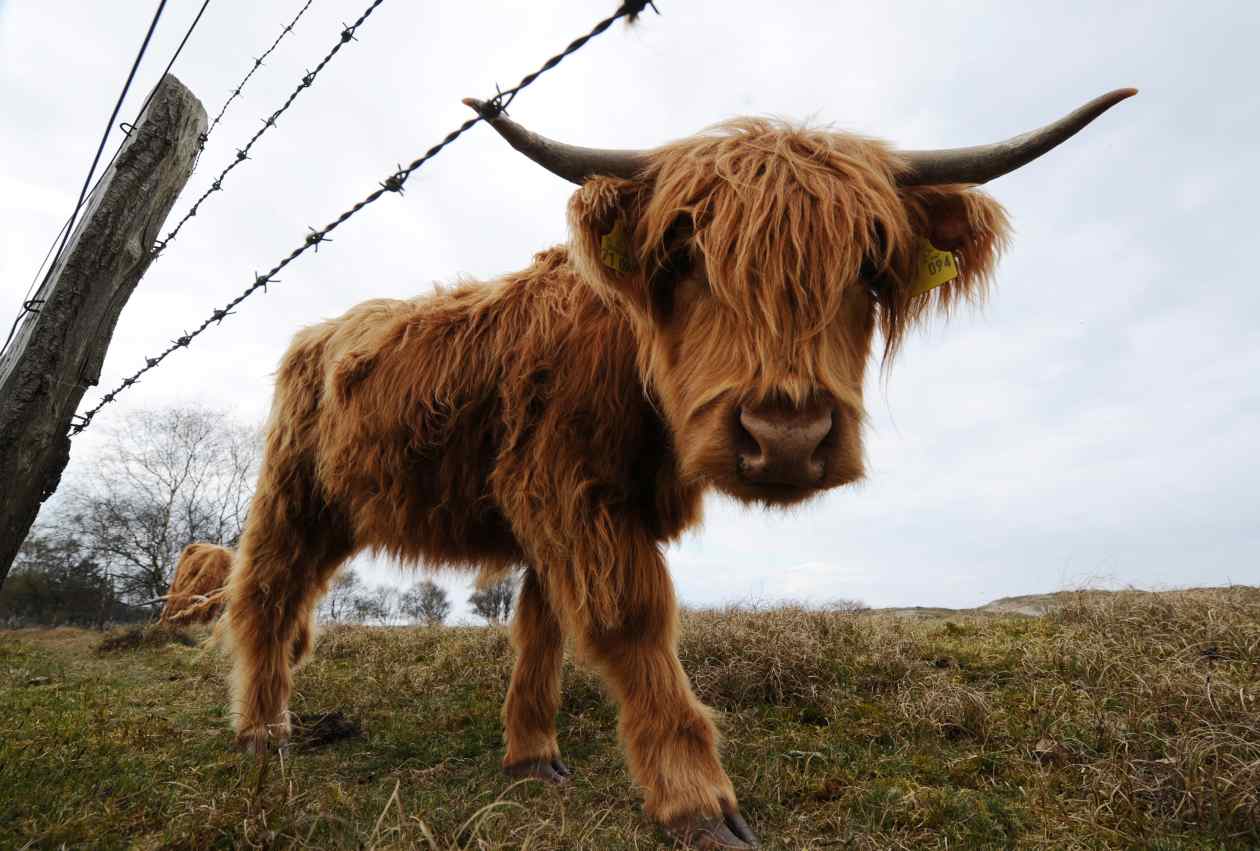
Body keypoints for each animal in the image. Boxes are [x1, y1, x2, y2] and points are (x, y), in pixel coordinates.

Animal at [217, 89, 1134, 848]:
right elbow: (631, 619)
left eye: (870, 269)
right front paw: (697, 799)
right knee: (265, 589)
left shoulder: (560, 505)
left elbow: (543, 626)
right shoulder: (568, 489)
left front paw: (532, 755)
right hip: (295, 493)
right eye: (686, 259)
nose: (787, 436)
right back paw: (264, 729)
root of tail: (320, 332)